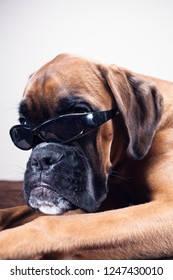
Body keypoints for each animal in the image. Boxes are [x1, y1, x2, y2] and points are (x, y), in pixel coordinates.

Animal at [0, 53, 173, 260]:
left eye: (75, 119)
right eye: (23, 126)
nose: (41, 158)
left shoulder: (166, 206)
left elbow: (51, 224)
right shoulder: (112, 199)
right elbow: (12, 212)